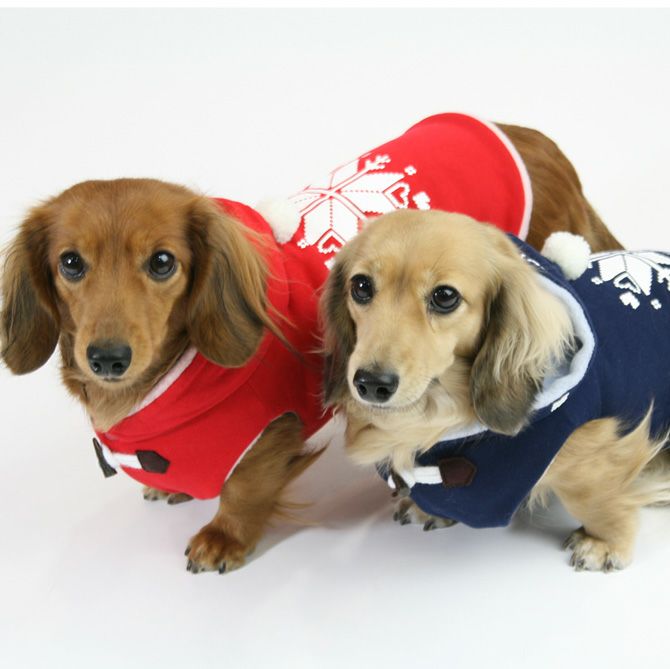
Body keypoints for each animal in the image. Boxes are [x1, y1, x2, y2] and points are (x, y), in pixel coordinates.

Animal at [1, 113, 621, 573]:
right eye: (70, 263)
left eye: (161, 262)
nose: (107, 359)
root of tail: (535, 138)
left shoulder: (274, 428)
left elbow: (244, 487)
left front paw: (224, 538)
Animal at [322, 209, 670, 571]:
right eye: (361, 286)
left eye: (445, 296)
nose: (371, 383)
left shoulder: (591, 435)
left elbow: (592, 496)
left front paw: (604, 542)